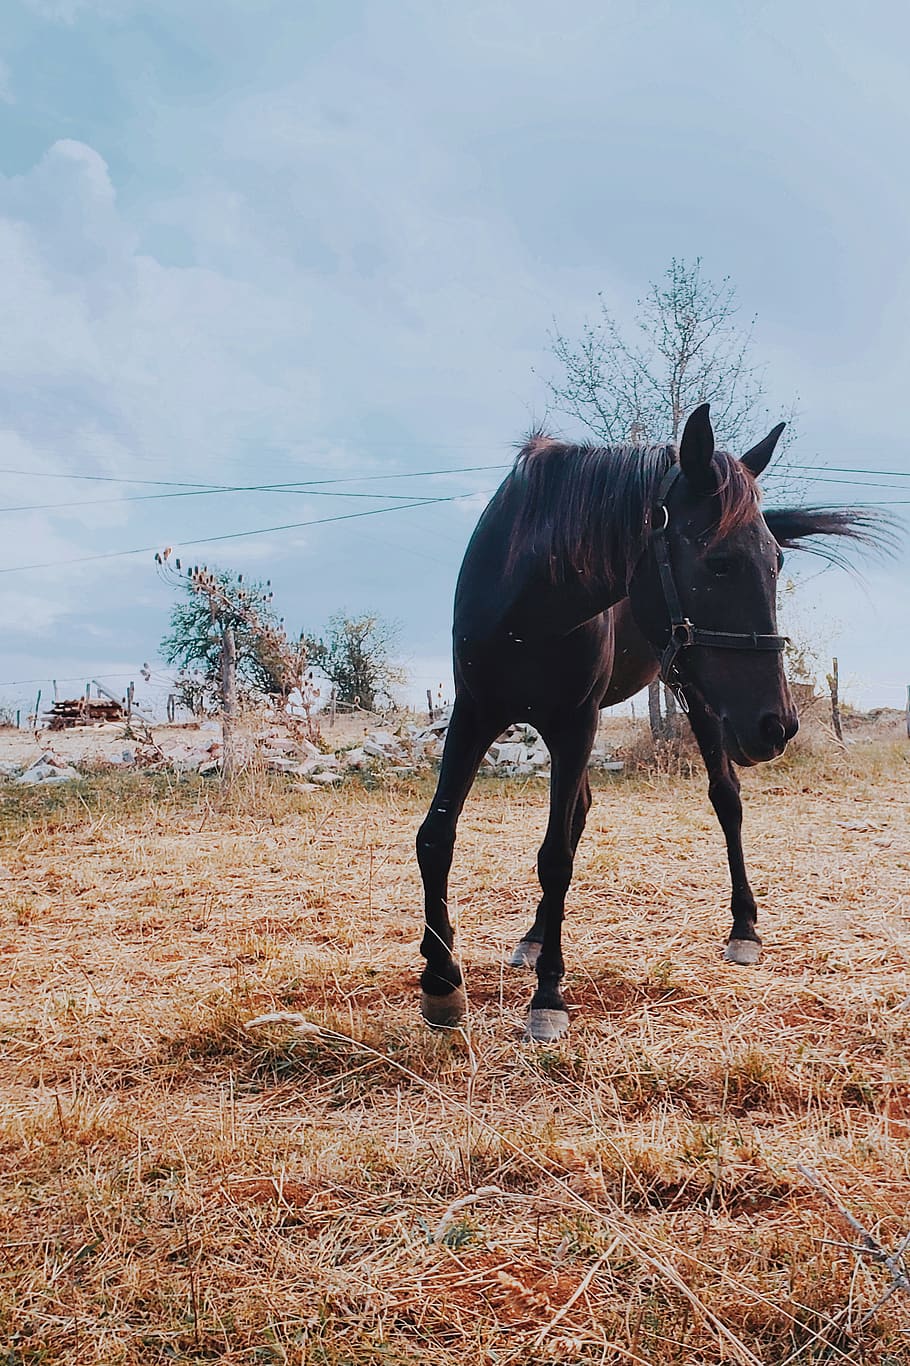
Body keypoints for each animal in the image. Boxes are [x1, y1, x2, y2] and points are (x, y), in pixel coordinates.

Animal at [416, 402, 882, 1042]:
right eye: (719, 562)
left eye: (777, 561)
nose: (778, 725)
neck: (528, 603)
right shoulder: (474, 713)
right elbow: (437, 838)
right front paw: (441, 982)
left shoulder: (574, 724)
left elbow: (554, 858)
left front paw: (549, 997)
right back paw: (533, 938)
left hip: (700, 701)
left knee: (726, 798)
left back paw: (744, 929)